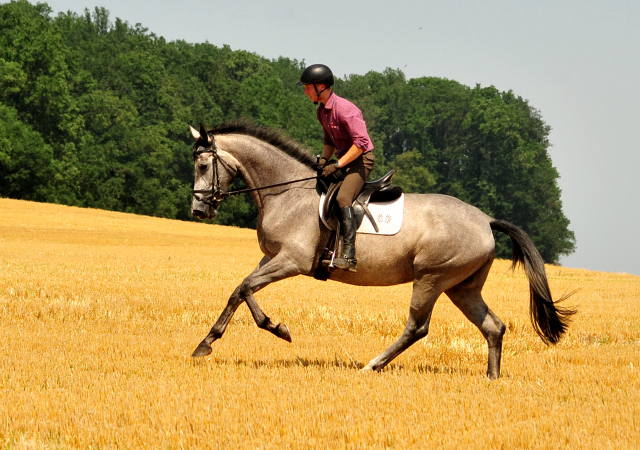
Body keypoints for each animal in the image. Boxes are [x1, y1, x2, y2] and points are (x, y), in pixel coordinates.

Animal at [186, 121, 576, 378]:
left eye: (203, 165)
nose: (198, 210)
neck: (286, 191)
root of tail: (486, 220)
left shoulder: (291, 260)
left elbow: (245, 287)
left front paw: (246, 334)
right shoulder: (272, 257)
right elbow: (242, 290)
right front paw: (229, 337)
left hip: (431, 278)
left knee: (417, 327)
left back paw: (372, 365)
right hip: (462, 287)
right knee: (493, 326)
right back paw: (491, 379)